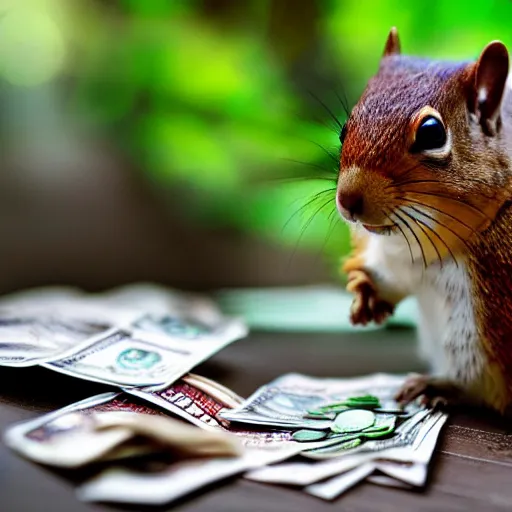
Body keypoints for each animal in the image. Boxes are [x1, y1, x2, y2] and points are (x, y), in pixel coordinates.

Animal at [338, 26, 512, 414]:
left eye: (432, 133)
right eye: (344, 128)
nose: (347, 200)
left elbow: (481, 381)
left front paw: (445, 386)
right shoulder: (396, 261)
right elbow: (388, 279)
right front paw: (365, 295)